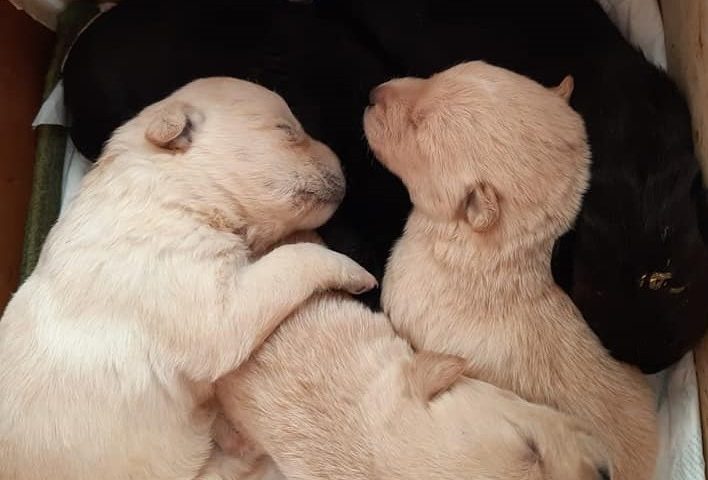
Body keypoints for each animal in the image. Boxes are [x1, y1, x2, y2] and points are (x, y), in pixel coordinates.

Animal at [0, 77, 376, 480]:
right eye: (285, 130)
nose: (344, 164)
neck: (171, 191)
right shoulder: (214, 309)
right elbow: (292, 260)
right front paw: (356, 270)